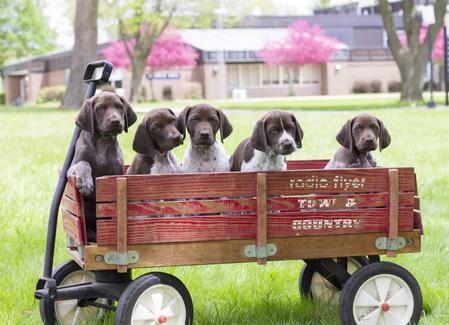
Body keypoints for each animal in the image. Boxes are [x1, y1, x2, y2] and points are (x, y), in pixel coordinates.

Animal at [67, 90, 136, 239]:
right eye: (100, 108)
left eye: (119, 106)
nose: (115, 121)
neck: (103, 143)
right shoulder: (71, 169)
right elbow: (84, 163)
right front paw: (85, 182)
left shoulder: (116, 171)